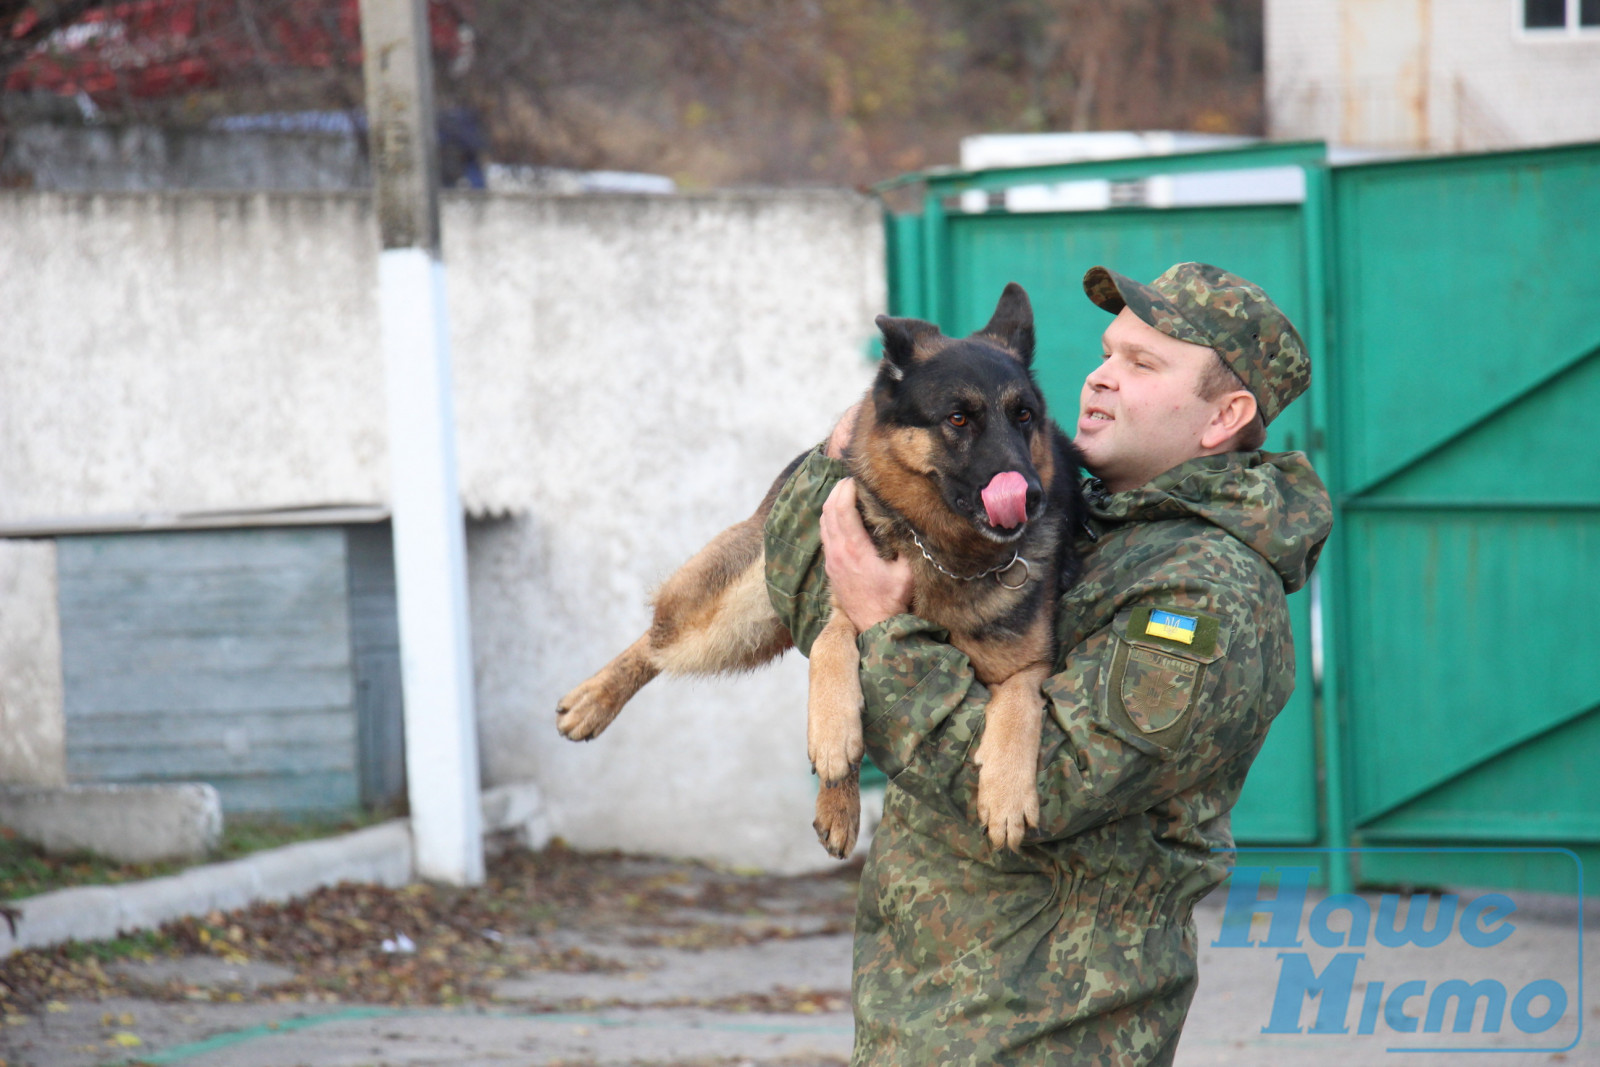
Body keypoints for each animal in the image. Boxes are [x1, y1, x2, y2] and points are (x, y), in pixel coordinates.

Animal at [553, 283, 1088, 857]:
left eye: (1024, 416)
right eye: (958, 419)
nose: (1030, 496)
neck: (944, 554)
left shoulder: (1029, 667)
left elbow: (1019, 705)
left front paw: (1006, 794)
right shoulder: (842, 603)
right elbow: (832, 647)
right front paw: (832, 734)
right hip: (738, 614)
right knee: (657, 641)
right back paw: (591, 701)